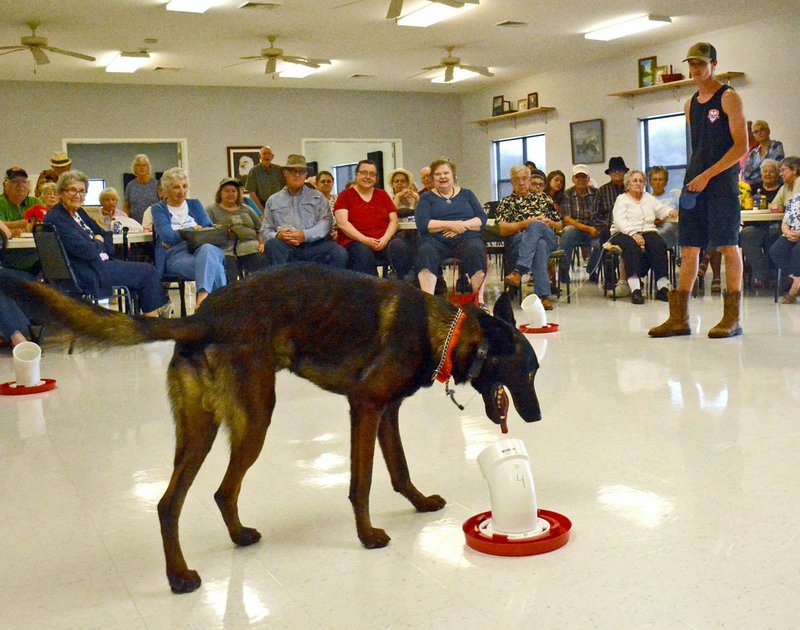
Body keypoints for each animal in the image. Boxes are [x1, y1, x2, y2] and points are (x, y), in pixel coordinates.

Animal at [0, 264, 540, 596]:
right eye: (528, 372)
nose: (535, 418)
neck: (445, 331)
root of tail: (199, 318)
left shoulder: (386, 413)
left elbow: (399, 469)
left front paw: (420, 503)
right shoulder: (365, 407)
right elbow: (362, 482)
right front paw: (366, 535)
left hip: (202, 431)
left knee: (190, 498)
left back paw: (226, 543)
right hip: (256, 419)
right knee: (190, 497)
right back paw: (179, 576)